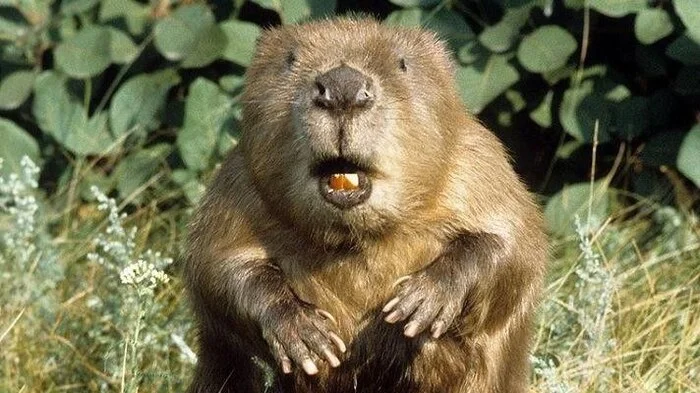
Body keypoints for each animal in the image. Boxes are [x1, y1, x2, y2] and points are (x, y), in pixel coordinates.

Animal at [182, 16, 548, 392]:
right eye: (290, 59)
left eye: (403, 63)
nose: (343, 87)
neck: (355, 239)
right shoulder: (238, 187)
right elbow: (215, 266)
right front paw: (307, 335)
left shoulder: (477, 165)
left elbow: (515, 246)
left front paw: (418, 303)